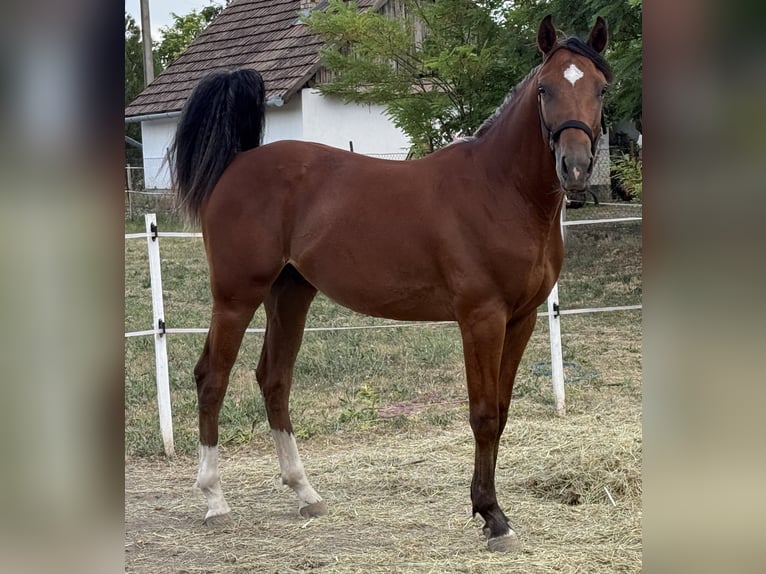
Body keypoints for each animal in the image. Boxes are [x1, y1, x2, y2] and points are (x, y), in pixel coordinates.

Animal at [171, 15, 611, 552]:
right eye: (545, 89)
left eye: (600, 88)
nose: (575, 167)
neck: (502, 190)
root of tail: (238, 164)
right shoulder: (481, 318)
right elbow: (484, 414)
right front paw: (492, 516)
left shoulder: (522, 320)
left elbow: (503, 411)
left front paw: (491, 511)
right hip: (236, 296)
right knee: (212, 379)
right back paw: (215, 500)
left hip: (290, 293)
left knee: (274, 380)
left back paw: (305, 492)